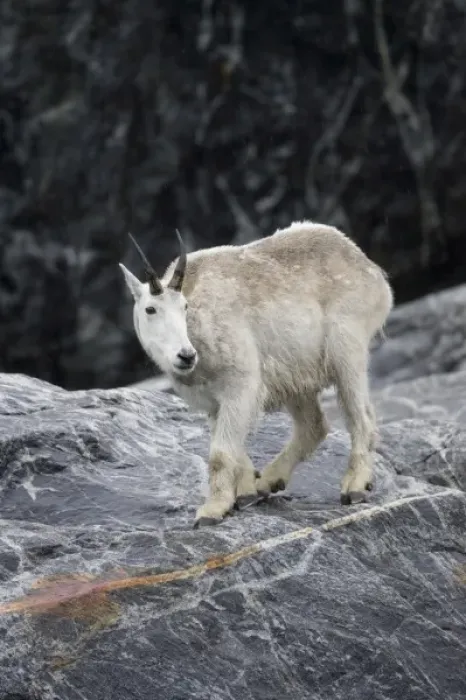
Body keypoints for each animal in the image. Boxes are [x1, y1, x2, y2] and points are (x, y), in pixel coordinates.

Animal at [119, 221, 393, 527]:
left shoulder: (242, 383)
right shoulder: (214, 401)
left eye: (185, 307)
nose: (186, 355)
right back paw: (268, 482)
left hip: (347, 346)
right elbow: (230, 445)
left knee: (361, 414)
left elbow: (220, 452)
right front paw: (246, 491)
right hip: (295, 374)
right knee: (313, 424)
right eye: (150, 309)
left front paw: (212, 511)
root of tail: (370, 268)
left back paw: (355, 486)